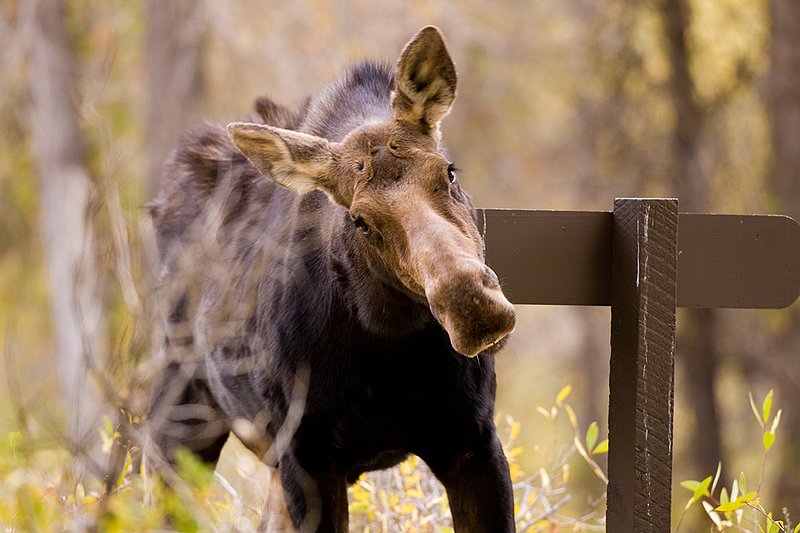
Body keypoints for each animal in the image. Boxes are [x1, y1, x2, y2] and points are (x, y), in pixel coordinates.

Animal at [146, 26, 517, 532]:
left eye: (449, 171)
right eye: (360, 220)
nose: (472, 307)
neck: (389, 342)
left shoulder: (473, 439)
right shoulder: (307, 455)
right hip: (180, 420)